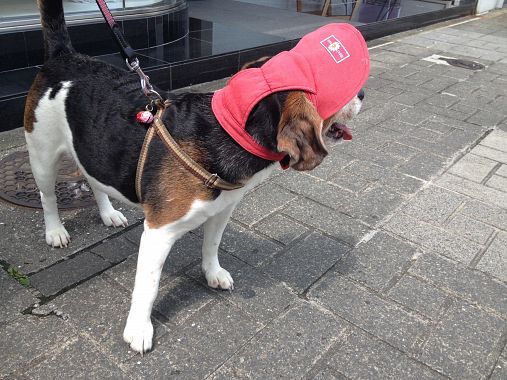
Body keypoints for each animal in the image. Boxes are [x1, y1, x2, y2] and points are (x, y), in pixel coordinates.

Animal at [26, 0, 370, 354]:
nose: (362, 95)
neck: (228, 129)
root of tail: (65, 57)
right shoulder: (158, 232)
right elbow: (148, 287)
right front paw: (138, 329)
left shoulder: (222, 210)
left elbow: (211, 245)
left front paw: (212, 273)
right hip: (41, 156)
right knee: (47, 196)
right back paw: (55, 231)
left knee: (95, 180)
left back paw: (108, 213)